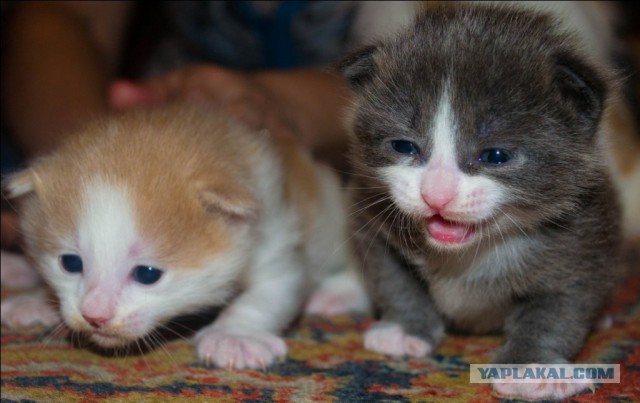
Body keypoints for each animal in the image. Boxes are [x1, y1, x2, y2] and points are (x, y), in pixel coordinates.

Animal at [0, 104, 368, 370]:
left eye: (147, 274)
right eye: (70, 263)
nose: (95, 316)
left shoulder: (274, 230)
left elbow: (274, 289)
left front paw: (233, 336)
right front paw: (38, 298)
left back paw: (338, 293)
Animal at [338, 3, 624, 400]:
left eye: (495, 156)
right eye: (404, 146)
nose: (436, 195)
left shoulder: (584, 242)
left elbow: (558, 308)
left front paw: (531, 366)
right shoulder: (372, 219)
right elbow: (392, 278)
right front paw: (406, 326)